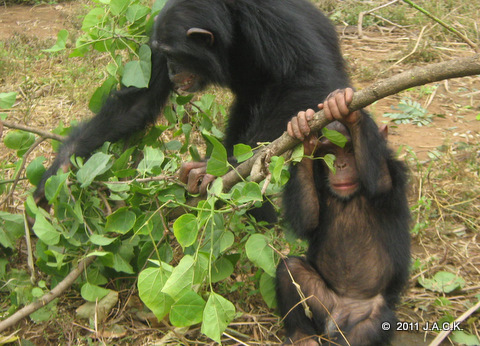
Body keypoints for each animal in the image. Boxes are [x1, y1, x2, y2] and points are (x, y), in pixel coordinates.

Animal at [32, 0, 348, 222]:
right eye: (163, 54)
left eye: (174, 54)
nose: (172, 69)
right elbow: (141, 98)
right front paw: (60, 167)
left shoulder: (272, 19)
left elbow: (307, 77)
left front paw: (223, 165)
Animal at [278, 88, 412, 344]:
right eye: (329, 152)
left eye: (350, 150)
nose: (340, 165)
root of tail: (338, 318)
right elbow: (308, 219)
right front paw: (303, 133)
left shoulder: (393, 173)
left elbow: (381, 183)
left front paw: (347, 110)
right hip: (323, 305)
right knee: (291, 269)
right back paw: (302, 337)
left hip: (368, 313)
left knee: (371, 325)